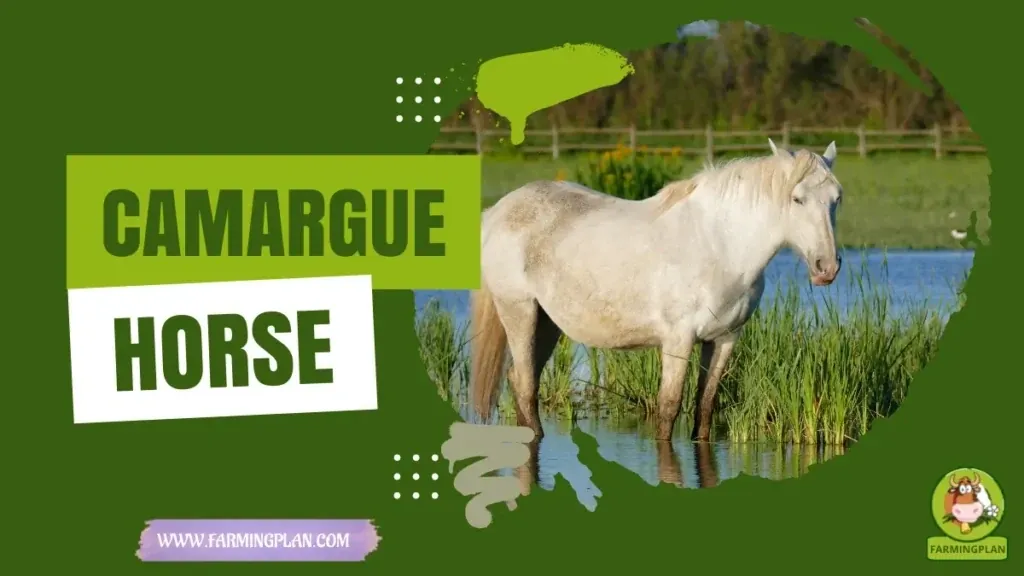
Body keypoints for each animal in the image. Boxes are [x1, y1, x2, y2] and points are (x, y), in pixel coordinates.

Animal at [470, 139, 843, 442]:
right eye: (797, 199)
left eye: (836, 200)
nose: (827, 267)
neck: (719, 244)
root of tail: (497, 211)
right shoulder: (678, 340)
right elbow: (669, 408)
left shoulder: (725, 339)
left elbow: (705, 406)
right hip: (519, 312)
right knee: (525, 385)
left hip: (547, 323)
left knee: (521, 379)